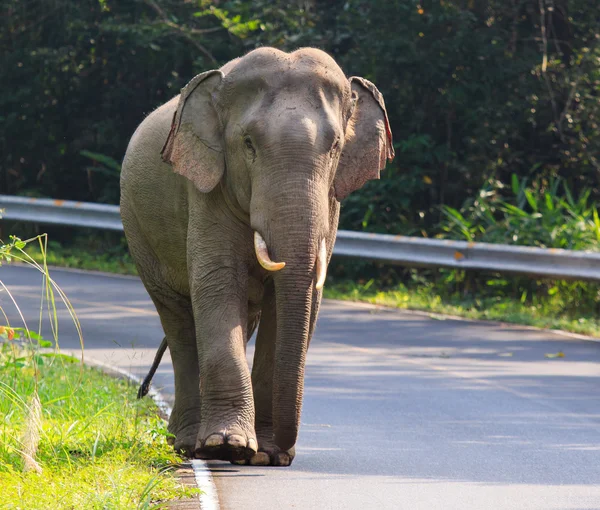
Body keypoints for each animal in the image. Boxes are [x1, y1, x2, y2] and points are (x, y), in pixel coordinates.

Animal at [120, 47, 394, 466]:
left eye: (335, 147)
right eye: (248, 143)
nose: (284, 453)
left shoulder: (332, 204)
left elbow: (295, 302)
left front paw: (263, 453)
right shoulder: (208, 192)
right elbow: (217, 284)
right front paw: (228, 446)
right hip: (139, 233)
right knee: (179, 322)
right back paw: (188, 442)